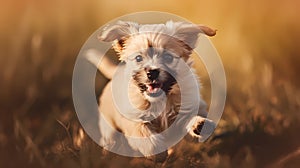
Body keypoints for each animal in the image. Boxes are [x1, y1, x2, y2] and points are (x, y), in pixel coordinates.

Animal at [86, 20, 216, 161]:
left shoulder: (182, 113)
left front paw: (200, 124)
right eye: (138, 58)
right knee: (110, 142)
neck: (160, 100)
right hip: (109, 130)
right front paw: (158, 153)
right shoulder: (134, 119)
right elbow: (144, 134)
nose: (152, 72)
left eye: (168, 57)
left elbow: (188, 118)